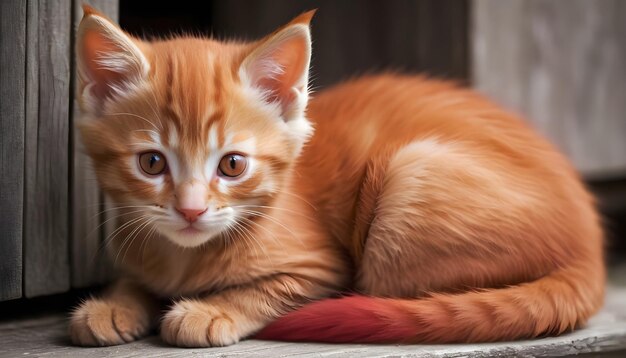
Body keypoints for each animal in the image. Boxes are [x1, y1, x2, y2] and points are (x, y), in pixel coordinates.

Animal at [70, 5, 604, 346]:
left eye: (232, 165)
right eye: (152, 163)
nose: (191, 210)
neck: (184, 258)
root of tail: (589, 250)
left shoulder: (323, 268)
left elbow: (266, 290)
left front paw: (211, 309)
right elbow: (134, 278)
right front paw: (113, 303)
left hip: (406, 180)